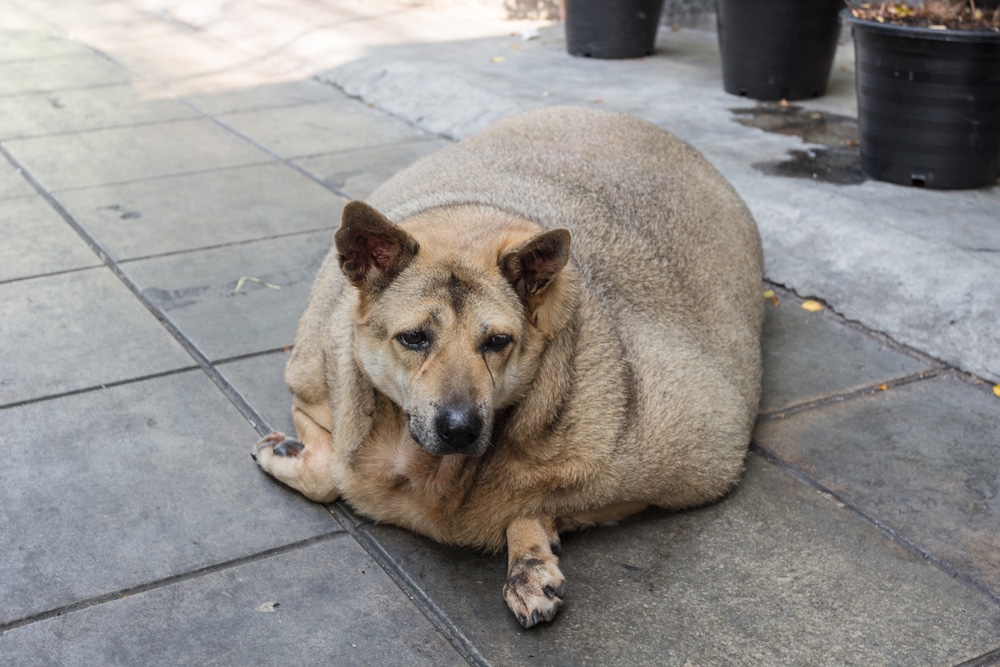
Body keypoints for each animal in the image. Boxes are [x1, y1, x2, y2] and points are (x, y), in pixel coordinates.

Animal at [254, 107, 760, 628]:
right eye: (414, 338)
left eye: (497, 342)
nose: (460, 428)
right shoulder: (312, 385)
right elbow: (329, 474)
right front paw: (288, 451)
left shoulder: (702, 456)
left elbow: (542, 501)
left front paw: (530, 546)